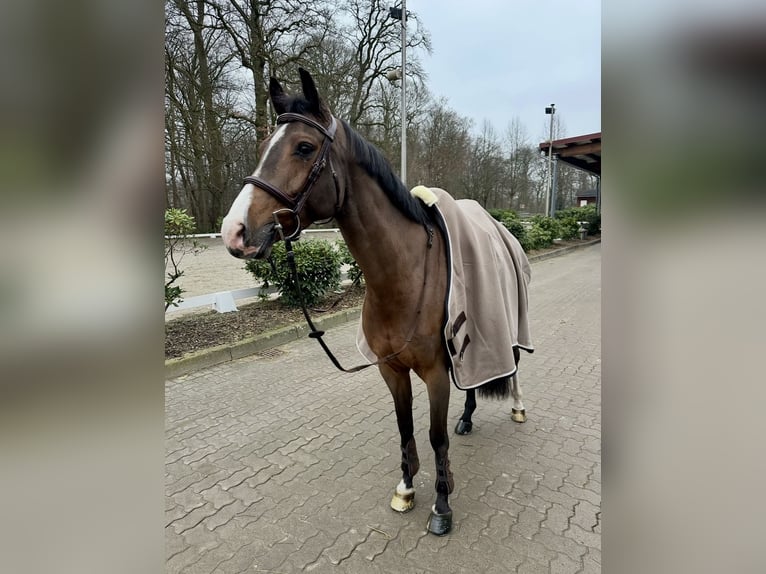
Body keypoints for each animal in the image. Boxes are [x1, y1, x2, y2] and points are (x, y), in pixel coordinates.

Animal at [221, 68, 531, 536]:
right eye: (262, 149)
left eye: (304, 147)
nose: (235, 231)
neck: (404, 276)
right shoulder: (392, 370)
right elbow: (405, 428)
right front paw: (406, 489)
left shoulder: (436, 373)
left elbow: (434, 436)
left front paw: (442, 505)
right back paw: (468, 418)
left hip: (508, 324)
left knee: (511, 364)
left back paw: (517, 408)